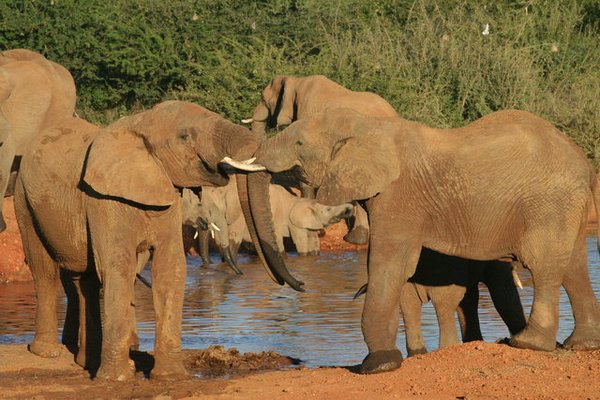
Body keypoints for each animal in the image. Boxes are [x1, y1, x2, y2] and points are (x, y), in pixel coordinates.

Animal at [12, 101, 298, 382]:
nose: (298, 284)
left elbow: (169, 268)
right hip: (24, 200)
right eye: (185, 136)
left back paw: (86, 361)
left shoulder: (167, 196)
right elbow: (118, 267)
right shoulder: (103, 200)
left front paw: (170, 376)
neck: (140, 122)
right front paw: (117, 379)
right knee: (45, 271)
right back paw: (48, 352)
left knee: (85, 281)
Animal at [227, 108, 600, 374]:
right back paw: (581, 344)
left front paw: (378, 365)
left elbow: (389, 263)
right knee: (574, 265)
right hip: (567, 205)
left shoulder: (399, 197)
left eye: (300, 144)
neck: (368, 126)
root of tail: (581, 159)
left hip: (548, 203)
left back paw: (529, 344)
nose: (300, 284)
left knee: (545, 265)